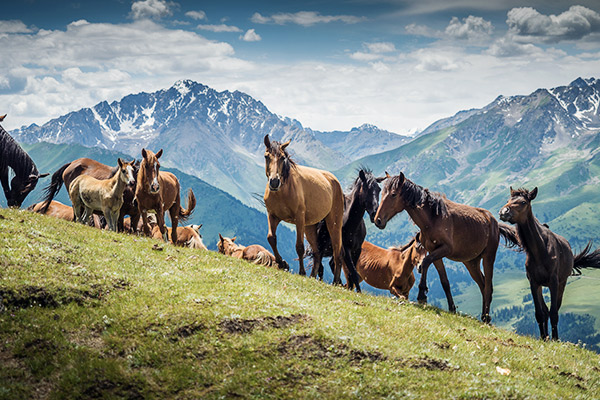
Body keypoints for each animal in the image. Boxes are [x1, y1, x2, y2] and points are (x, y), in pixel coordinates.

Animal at [262, 136, 356, 290]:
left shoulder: (299, 219)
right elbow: (271, 238)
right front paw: (282, 263)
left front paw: (301, 272)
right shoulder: (272, 216)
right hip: (310, 226)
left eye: (282, 157)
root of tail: (333, 180)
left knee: (338, 251)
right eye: (266, 156)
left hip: (333, 224)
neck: (283, 191)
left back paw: (336, 280)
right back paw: (313, 276)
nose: (274, 182)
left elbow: (299, 246)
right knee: (317, 252)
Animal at [376, 172, 510, 322]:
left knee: (488, 287)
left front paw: (422, 295)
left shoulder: (445, 249)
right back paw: (483, 316)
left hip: (488, 257)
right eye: (382, 193)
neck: (433, 218)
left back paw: (486, 318)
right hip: (471, 262)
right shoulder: (434, 251)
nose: (378, 220)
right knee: (482, 284)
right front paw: (451, 308)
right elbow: (444, 281)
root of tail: (494, 223)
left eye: (393, 194)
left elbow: (425, 263)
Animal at [500, 186, 600, 340]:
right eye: (508, 200)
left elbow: (554, 312)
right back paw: (546, 336)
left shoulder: (554, 282)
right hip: (542, 285)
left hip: (562, 283)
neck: (540, 250)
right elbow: (539, 313)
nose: (504, 212)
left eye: (523, 202)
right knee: (545, 310)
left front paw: (555, 339)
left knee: (554, 309)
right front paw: (543, 337)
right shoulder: (534, 282)